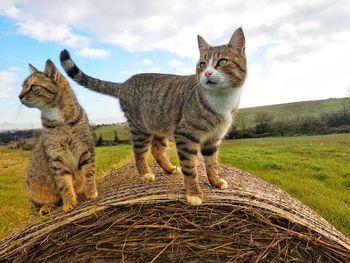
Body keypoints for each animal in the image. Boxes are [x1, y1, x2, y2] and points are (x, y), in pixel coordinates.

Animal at [19, 59, 98, 214]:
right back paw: (47, 206)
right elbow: (64, 184)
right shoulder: (56, 157)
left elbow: (88, 173)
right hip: (32, 188)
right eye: (22, 87)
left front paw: (91, 191)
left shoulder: (86, 149)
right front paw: (69, 202)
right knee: (47, 201)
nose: (19, 96)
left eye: (33, 87)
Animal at [60, 27, 246, 205]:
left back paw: (169, 169)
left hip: (159, 125)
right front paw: (194, 193)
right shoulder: (185, 136)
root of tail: (124, 84)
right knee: (139, 152)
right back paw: (145, 174)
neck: (221, 99)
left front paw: (215, 181)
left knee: (156, 150)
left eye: (222, 62)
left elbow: (212, 163)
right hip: (140, 128)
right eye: (202, 64)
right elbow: (190, 168)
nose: (206, 73)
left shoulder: (213, 140)